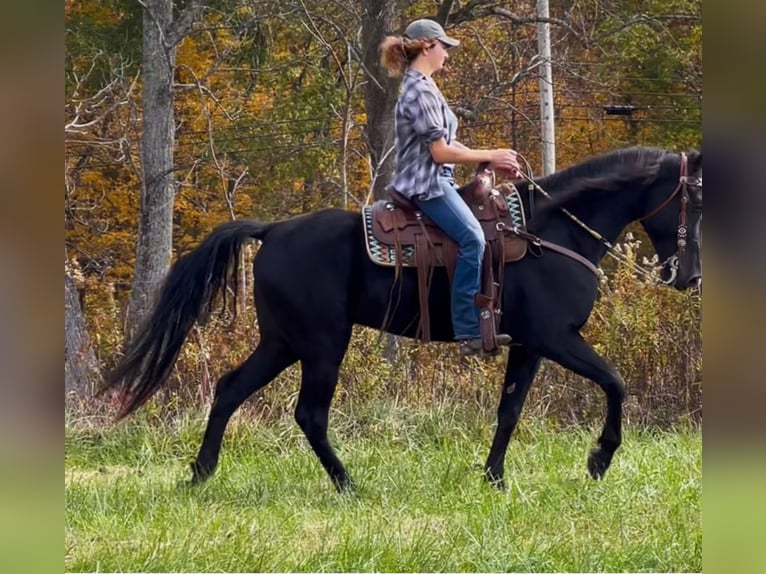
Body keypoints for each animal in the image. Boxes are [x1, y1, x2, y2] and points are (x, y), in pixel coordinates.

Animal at [103, 146, 702, 491]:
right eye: (694, 201)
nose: (690, 276)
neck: (553, 233)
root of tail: (271, 231)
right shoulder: (557, 338)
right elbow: (615, 382)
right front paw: (600, 459)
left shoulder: (529, 345)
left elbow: (509, 411)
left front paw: (493, 479)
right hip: (322, 344)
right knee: (309, 414)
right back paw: (348, 486)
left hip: (282, 342)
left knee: (230, 389)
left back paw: (200, 475)